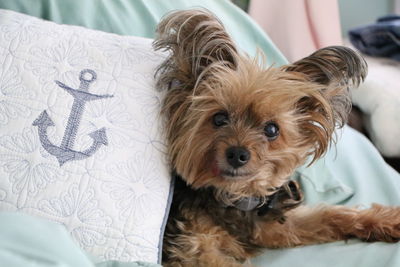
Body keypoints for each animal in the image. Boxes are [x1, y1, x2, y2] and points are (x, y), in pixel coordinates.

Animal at [152, 9, 400, 266]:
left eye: (272, 130)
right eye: (219, 118)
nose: (237, 154)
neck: (234, 197)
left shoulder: (274, 224)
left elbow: (329, 214)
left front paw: (389, 219)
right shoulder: (195, 248)